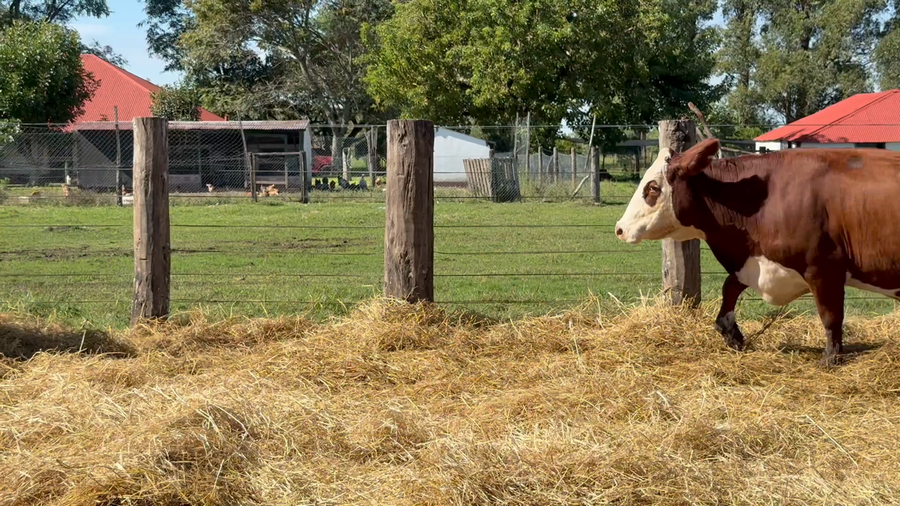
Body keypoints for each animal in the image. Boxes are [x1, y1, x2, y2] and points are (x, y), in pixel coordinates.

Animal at [614, 138, 900, 365]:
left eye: (652, 187)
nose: (620, 228)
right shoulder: (754, 263)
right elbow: (729, 289)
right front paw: (732, 334)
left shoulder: (823, 269)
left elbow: (831, 317)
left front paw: (831, 358)